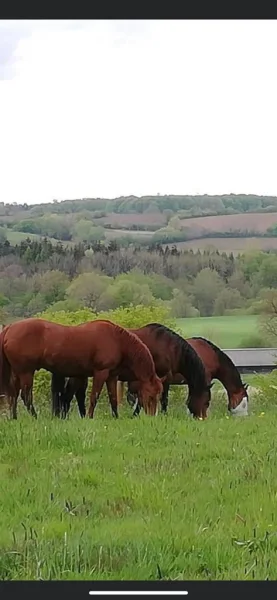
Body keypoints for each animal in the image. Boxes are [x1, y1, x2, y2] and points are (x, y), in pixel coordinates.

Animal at [0, 316, 164, 420]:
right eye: (151, 395)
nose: (152, 416)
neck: (116, 340)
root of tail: (9, 328)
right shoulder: (100, 373)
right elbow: (94, 397)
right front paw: (90, 417)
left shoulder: (111, 376)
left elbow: (113, 398)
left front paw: (116, 417)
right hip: (26, 372)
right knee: (25, 396)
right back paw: (35, 417)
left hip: (17, 372)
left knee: (13, 394)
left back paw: (14, 418)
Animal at [51, 324, 211, 418]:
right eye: (206, 401)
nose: (202, 418)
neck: (169, 348)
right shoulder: (161, 378)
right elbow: (161, 399)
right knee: (72, 395)